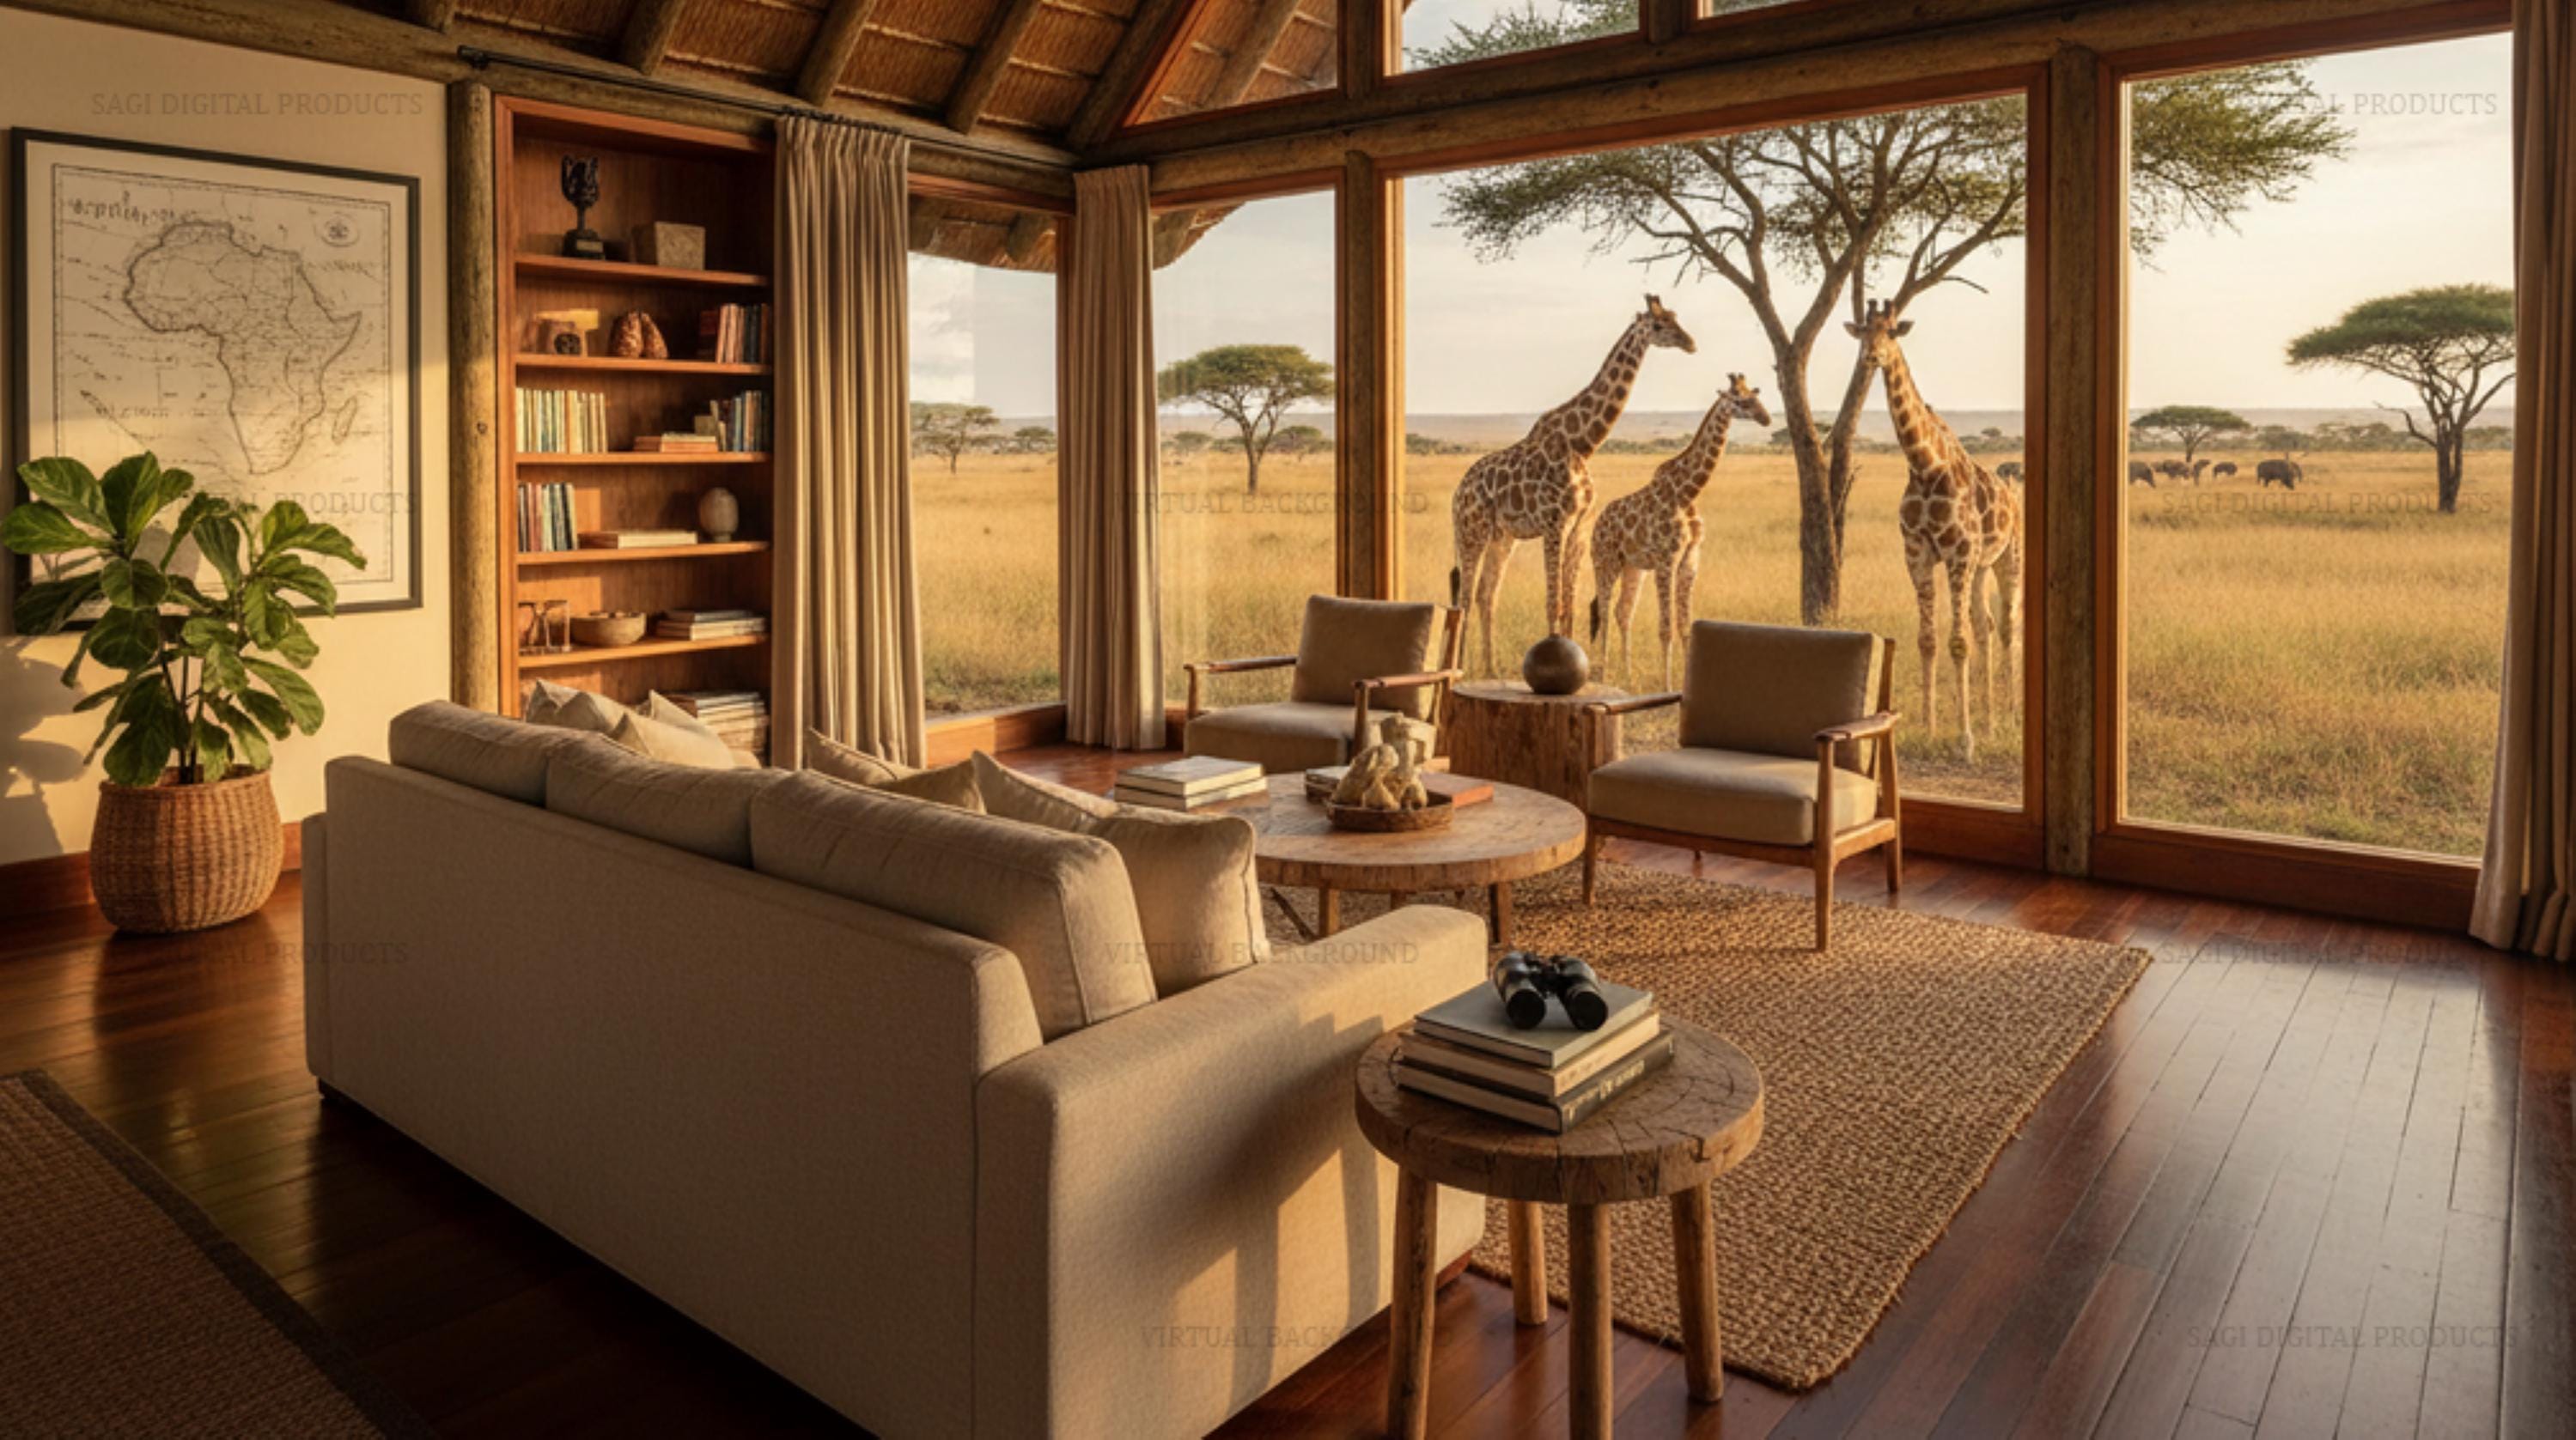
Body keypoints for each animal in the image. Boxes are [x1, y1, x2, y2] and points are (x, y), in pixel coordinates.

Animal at [1450, 296, 1696, 676]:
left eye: (1674, 317)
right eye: (1658, 325)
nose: (1690, 342)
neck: (1581, 444)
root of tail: (1456, 495)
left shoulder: (1578, 527)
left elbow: (1570, 604)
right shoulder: (1555, 524)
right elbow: (1553, 602)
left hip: (1501, 537)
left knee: (1485, 595)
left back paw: (1491, 669)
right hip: (1470, 531)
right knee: (1464, 595)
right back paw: (1460, 668)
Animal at [1586, 372, 1772, 687]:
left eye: (1755, 395)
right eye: (1739, 399)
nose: (1766, 418)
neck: (1687, 494)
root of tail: (1597, 525)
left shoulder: (1690, 561)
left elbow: (1685, 627)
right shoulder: (1666, 561)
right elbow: (1666, 628)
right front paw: (1668, 684)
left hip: (1632, 567)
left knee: (1623, 612)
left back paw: (1627, 677)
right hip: (1605, 561)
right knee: (1604, 611)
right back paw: (1602, 675)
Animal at [1848, 301, 2024, 759]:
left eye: (1892, 332)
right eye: (1863, 333)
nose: (1871, 356)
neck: (1926, 467)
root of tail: (2013, 494)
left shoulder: (1958, 552)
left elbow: (1957, 643)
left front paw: (1964, 740)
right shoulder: (1918, 552)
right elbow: (1928, 640)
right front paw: (1929, 729)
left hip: (2008, 559)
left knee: (2007, 627)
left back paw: (2010, 717)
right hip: (1981, 567)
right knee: (1986, 626)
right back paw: (1990, 721)